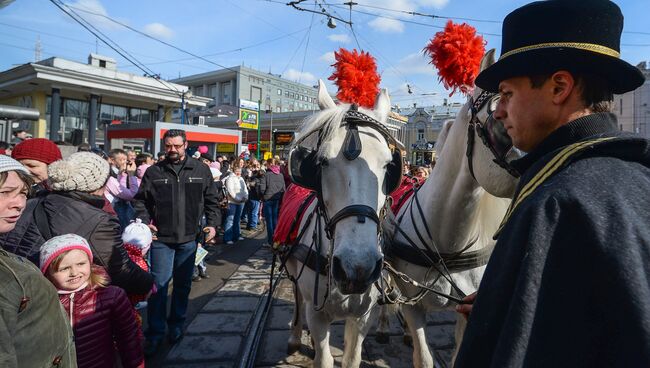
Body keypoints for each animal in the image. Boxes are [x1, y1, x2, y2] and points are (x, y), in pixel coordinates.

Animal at [284, 79, 400, 366]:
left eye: (389, 165)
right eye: (321, 162)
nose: (356, 267)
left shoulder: (363, 317)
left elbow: (351, 359)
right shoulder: (318, 316)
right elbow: (323, 358)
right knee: (297, 298)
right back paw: (295, 335)